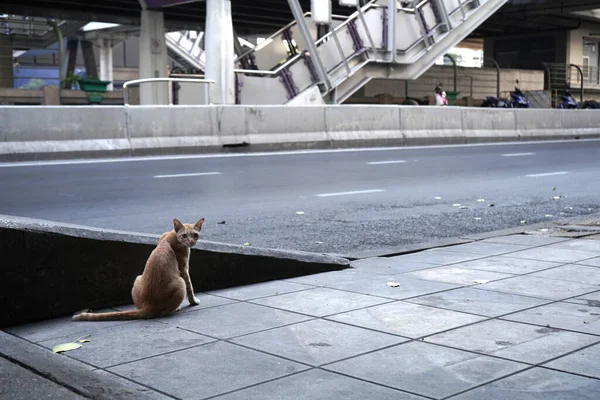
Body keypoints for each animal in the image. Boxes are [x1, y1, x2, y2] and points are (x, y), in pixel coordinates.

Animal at [72, 217, 204, 324]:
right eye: (184, 235)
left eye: (195, 235)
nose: (191, 242)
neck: (172, 235)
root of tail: (147, 307)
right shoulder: (184, 270)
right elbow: (190, 287)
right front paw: (194, 302)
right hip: (180, 283)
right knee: (167, 311)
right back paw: (177, 308)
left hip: (138, 278)